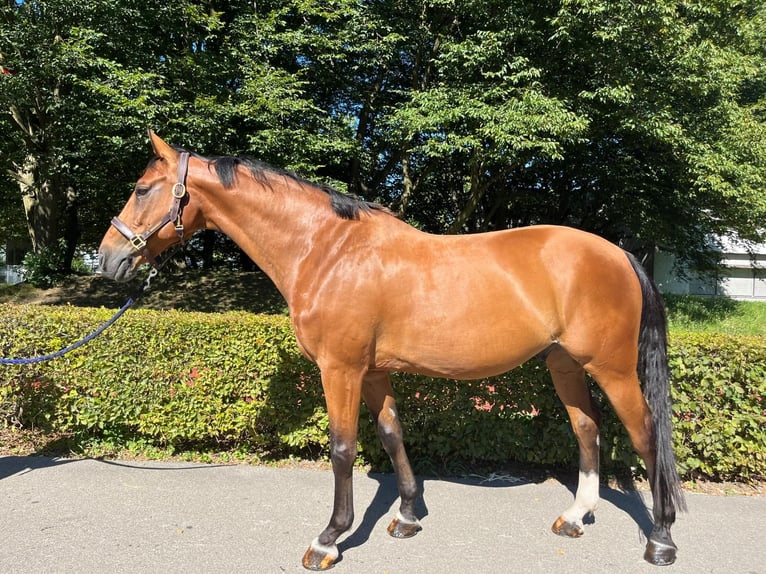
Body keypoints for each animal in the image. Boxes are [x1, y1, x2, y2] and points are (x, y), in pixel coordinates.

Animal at [97, 132, 688, 572]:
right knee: (587, 430)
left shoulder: (340, 369)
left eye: (143, 188)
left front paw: (329, 539)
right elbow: (390, 433)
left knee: (646, 435)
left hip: (613, 369)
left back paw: (660, 540)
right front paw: (406, 516)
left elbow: (342, 449)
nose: (107, 259)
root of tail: (619, 255)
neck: (328, 250)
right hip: (565, 364)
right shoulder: (374, 371)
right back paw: (576, 516)